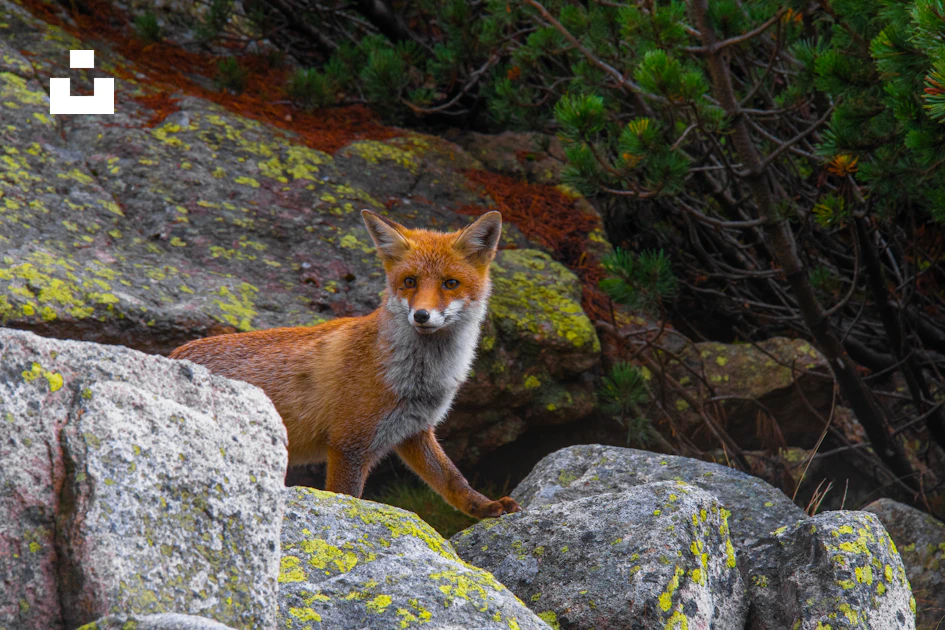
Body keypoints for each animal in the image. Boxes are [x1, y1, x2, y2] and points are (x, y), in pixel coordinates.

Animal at [169, 210, 520, 518]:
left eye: (450, 283)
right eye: (410, 281)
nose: (421, 315)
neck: (418, 379)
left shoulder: (414, 431)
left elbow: (452, 479)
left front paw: (485, 507)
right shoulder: (348, 444)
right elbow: (346, 498)